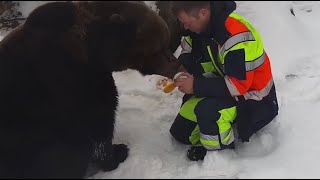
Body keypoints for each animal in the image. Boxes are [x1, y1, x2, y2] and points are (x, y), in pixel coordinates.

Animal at [0, 1, 180, 179]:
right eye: (159, 48)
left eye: (166, 43)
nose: (175, 64)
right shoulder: (76, 80)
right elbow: (100, 124)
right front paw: (118, 152)